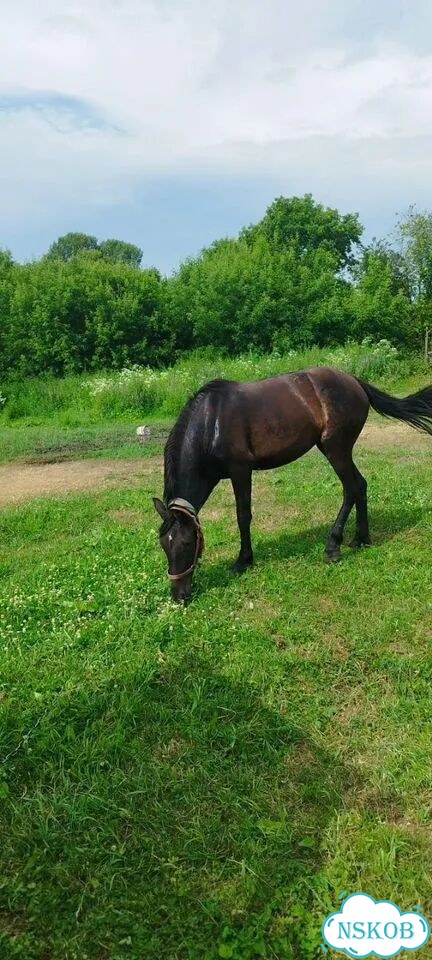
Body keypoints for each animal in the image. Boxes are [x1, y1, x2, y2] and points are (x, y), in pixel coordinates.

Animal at [153, 366, 432, 602]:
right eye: (164, 544)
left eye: (186, 543)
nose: (179, 596)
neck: (211, 424)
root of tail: (354, 381)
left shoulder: (241, 471)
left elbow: (243, 515)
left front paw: (244, 560)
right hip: (336, 449)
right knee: (360, 486)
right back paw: (361, 539)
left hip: (336, 448)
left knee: (351, 489)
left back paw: (333, 547)